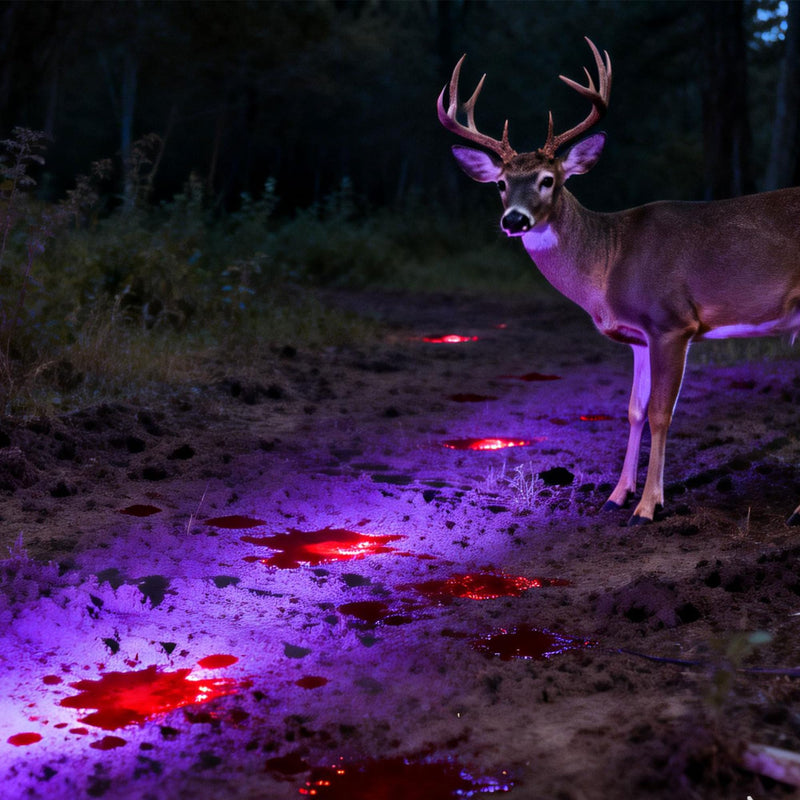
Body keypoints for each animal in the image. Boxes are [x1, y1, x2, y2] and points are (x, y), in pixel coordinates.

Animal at [437, 37, 800, 526]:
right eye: (499, 184)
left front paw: (647, 507)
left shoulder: (672, 323)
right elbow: (633, 410)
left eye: (548, 179)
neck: (610, 261)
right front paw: (617, 495)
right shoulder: (638, 338)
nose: (514, 220)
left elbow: (662, 413)